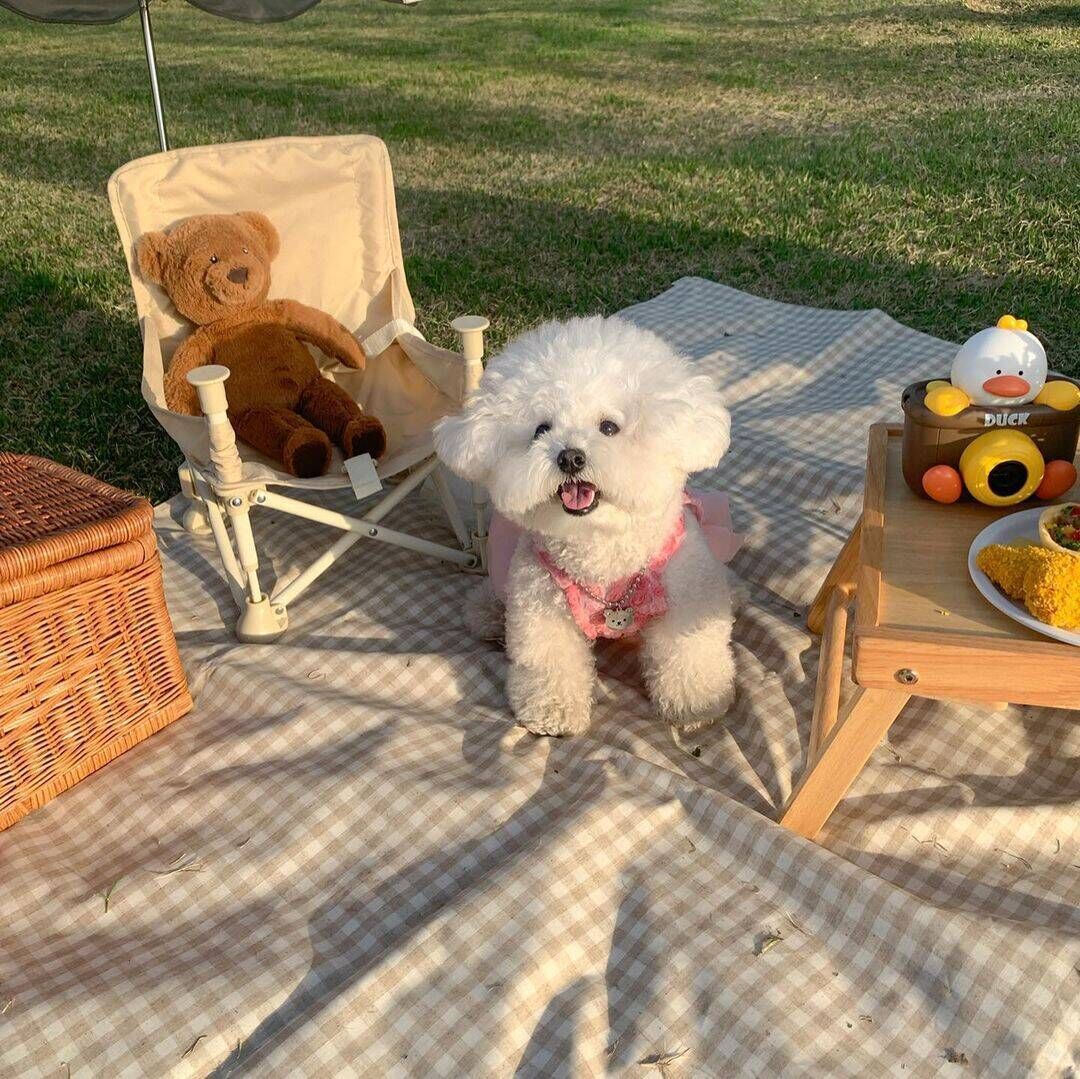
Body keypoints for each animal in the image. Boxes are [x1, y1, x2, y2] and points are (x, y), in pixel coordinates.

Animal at [434, 313, 738, 734]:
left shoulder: (688, 597)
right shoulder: (540, 605)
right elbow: (549, 658)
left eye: (609, 427)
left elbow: (689, 649)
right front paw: (553, 712)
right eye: (541, 429)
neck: (601, 548)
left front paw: (698, 706)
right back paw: (487, 615)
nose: (570, 457)